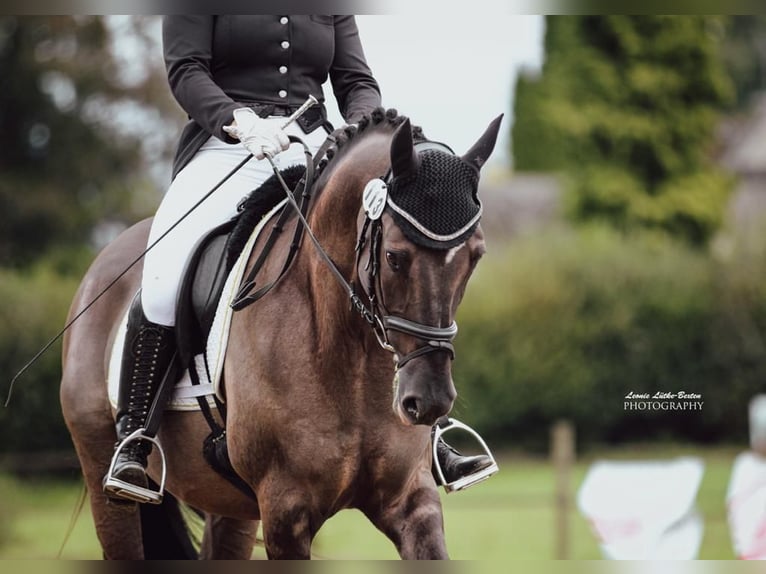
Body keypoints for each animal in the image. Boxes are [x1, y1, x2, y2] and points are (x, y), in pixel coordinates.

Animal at [61, 109, 504, 564]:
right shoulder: (286, 511)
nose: (429, 402)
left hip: (231, 507)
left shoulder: (411, 500)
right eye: (394, 256)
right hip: (106, 481)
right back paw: (129, 460)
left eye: (475, 256)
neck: (350, 357)